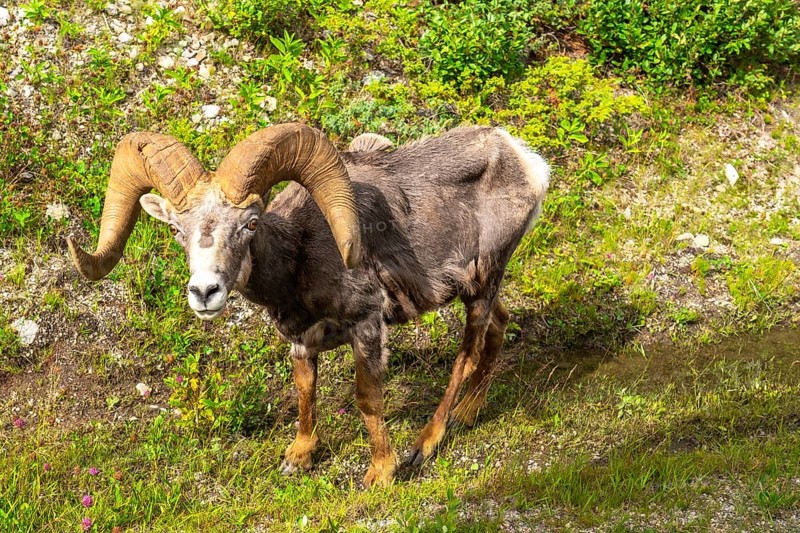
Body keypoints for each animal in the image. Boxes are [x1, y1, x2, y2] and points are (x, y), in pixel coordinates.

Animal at [68, 123, 549, 487]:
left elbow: (367, 398)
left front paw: (381, 473)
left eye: (250, 223)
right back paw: (469, 414)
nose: (205, 293)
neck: (299, 256)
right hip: (480, 290)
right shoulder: (301, 340)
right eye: (175, 230)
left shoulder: (367, 325)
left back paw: (425, 444)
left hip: (482, 283)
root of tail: (524, 160)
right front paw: (299, 457)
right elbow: (305, 391)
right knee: (499, 326)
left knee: (466, 353)